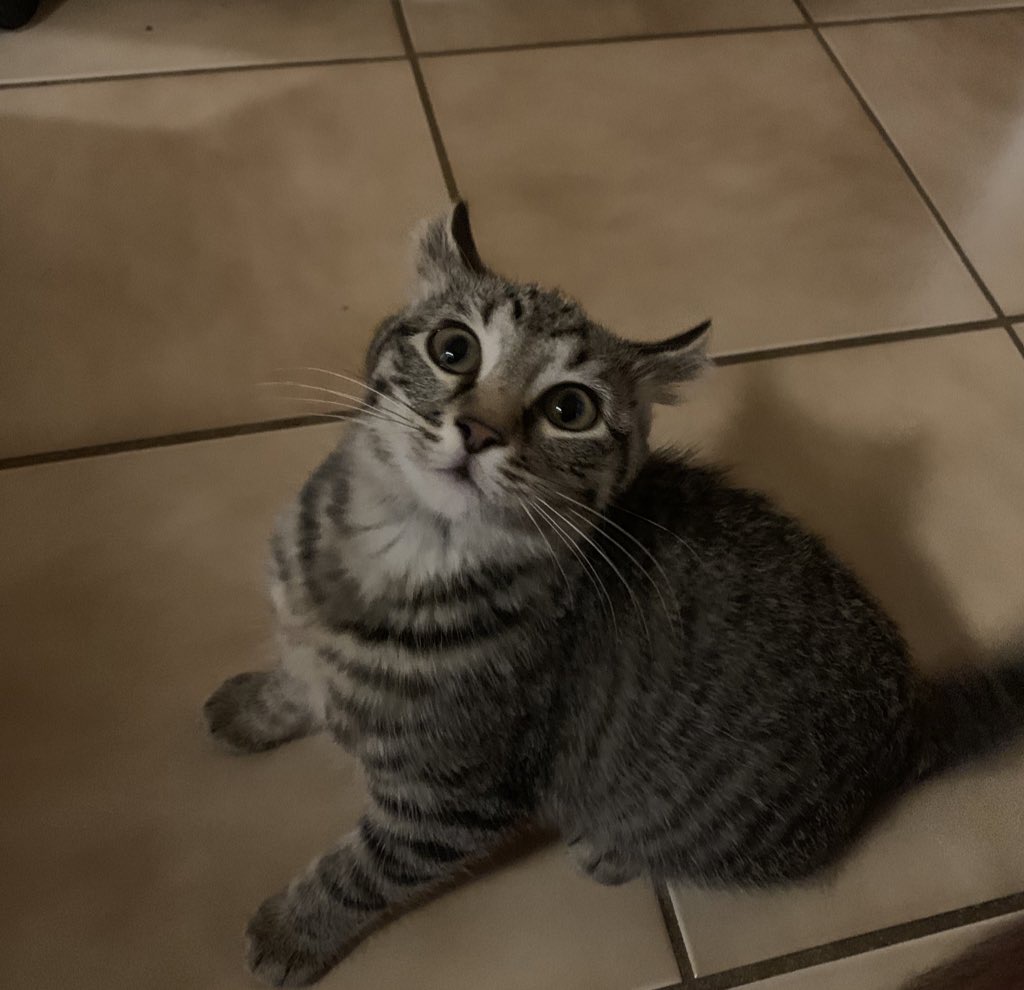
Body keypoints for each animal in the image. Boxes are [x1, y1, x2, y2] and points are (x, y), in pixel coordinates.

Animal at [203, 201, 1024, 987]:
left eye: (570, 410)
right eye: (453, 349)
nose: (477, 430)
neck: (390, 555)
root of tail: (907, 719)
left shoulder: (451, 799)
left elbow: (362, 872)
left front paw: (291, 930)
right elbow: (297, 678)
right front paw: (255, 706)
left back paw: (611, 850)